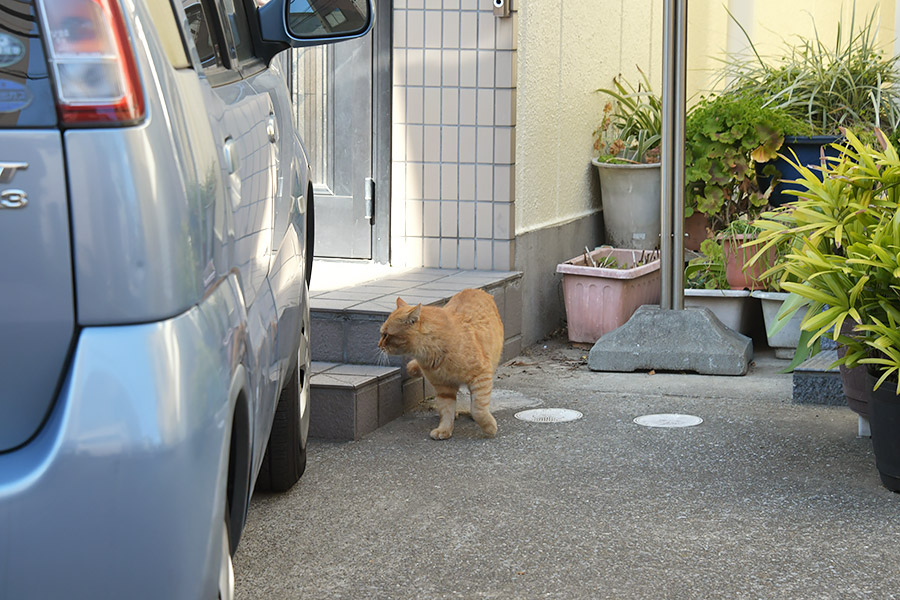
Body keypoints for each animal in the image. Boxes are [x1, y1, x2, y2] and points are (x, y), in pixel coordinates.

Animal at [376, 288, 502, 438]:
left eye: (386, 335)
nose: (378, 345)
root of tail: (477, 289)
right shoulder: (443, 386)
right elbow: (446, 410)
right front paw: (445, 429)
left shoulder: (481, 376)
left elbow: (478, 409)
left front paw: (489, 427)